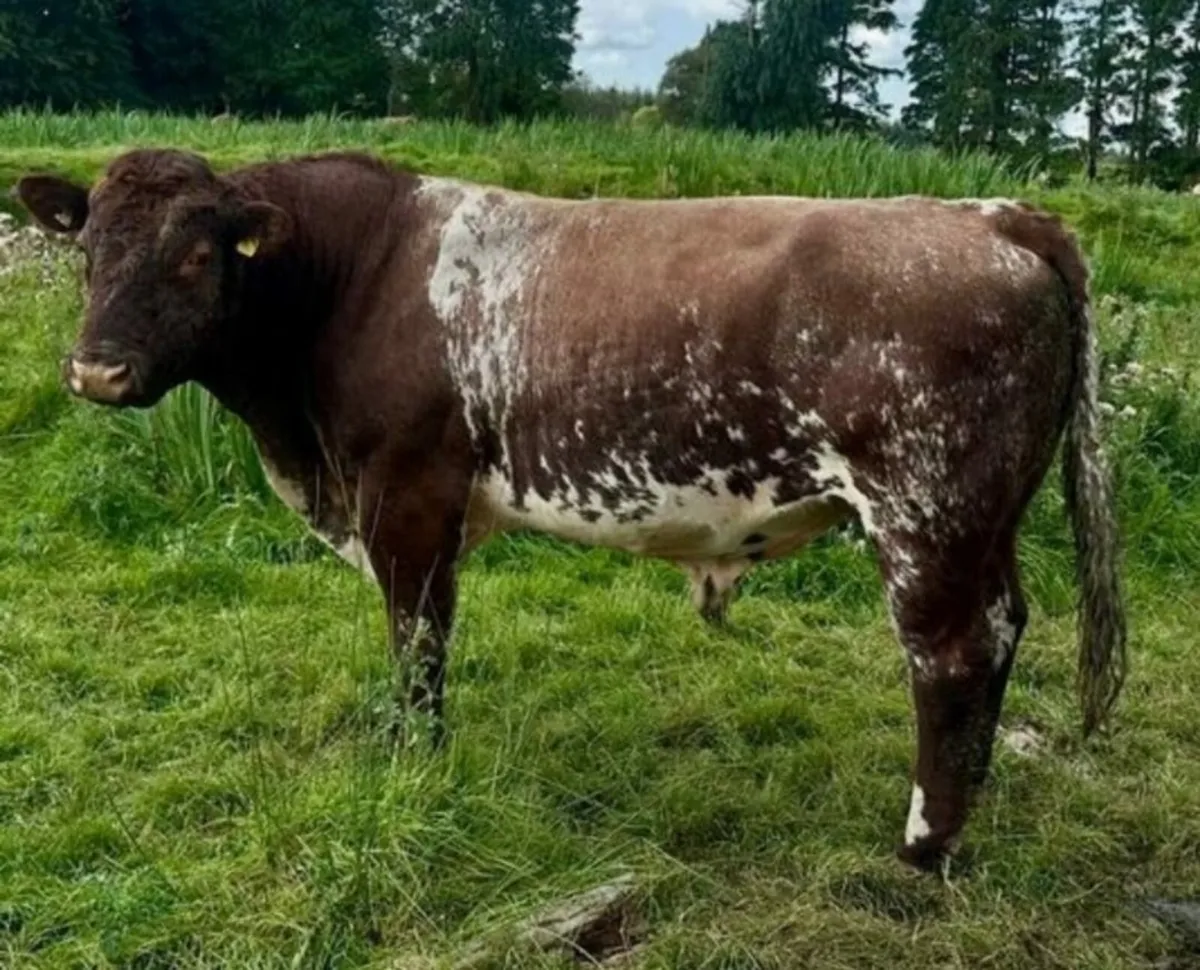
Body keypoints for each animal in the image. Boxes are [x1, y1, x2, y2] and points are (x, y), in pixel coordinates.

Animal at [15, 148, 1126, 871]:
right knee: (1005, 626)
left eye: (198, 256)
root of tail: (991, 213)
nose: (95, 370)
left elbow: (417, 642)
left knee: (950, 655)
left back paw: (925, 843)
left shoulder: (408, 495)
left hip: (926, 513)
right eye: (89, 250)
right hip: (989, 522)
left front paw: (414, 764)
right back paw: (973, 801)